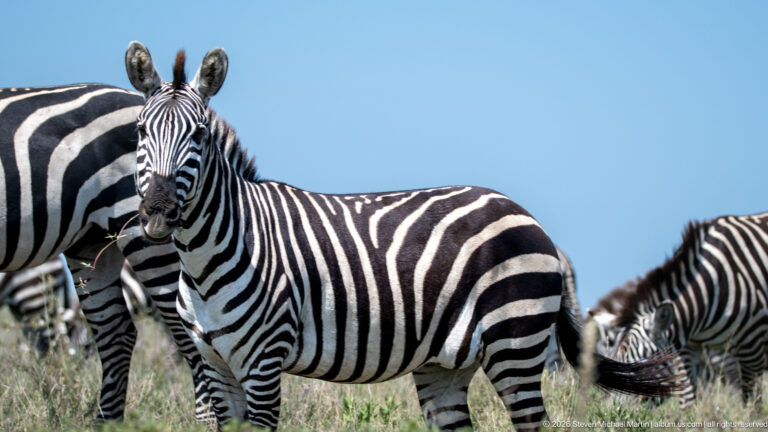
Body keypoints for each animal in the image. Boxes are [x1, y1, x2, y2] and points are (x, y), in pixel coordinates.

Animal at [124, 42, 682, 430]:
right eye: (140, 133)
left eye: (198, 136)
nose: (157, 213)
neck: (209, 258)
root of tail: (531, 218)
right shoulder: (216, 367)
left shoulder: (264, 363)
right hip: (446, 364)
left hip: (516, 343)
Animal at [609, 215, 768, 405]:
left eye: (641, 371)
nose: (615, 411)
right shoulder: (689, 350)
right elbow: (688, 399)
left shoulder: (753, 349)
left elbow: (751, 400)